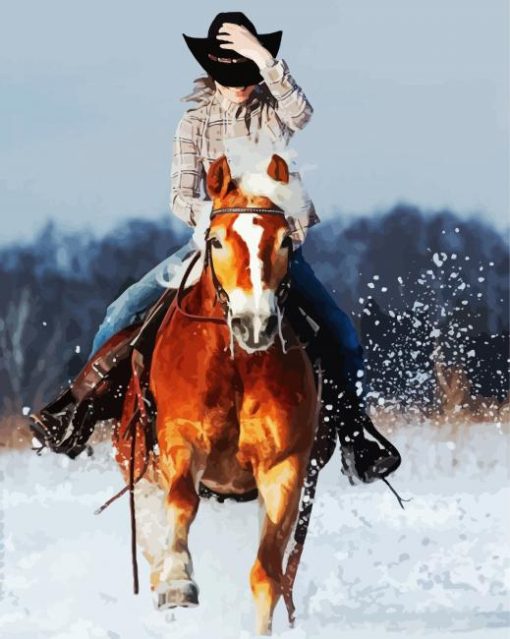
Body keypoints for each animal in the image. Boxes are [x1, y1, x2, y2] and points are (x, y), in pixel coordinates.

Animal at [113, 154, 322, 636]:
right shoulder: (182, 440)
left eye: (285, 241)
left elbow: (267, 572)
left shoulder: (283, 467)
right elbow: (182, 502)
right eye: (217, 241)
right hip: (139, 474)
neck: (236, 365)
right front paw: (178, 583)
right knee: (154, 546)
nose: (255, 324)